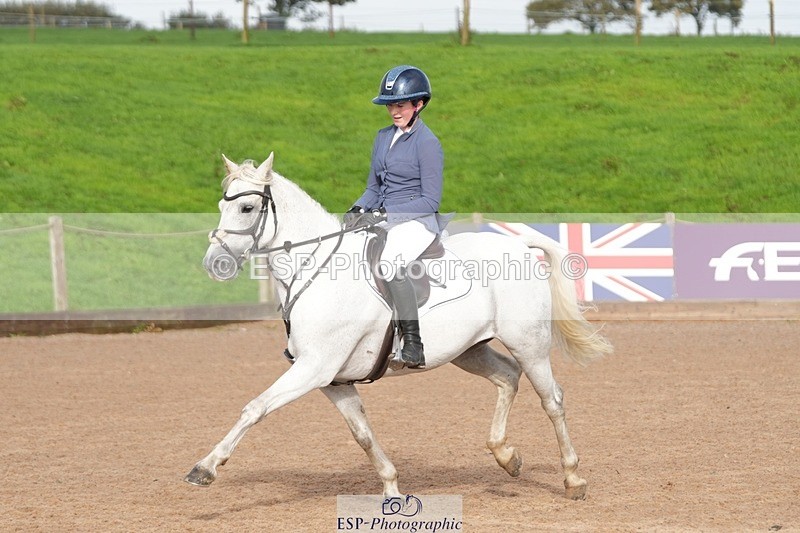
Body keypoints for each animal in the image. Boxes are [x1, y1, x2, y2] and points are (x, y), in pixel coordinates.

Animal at [185, 152, 612, 500]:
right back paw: (507, 457)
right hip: (468, 350)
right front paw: (391, 487)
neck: (316, 270)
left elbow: (254, 408)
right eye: (222, 205)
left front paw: (205, 467)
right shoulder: (332, 380)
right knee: (507, 377)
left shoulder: (314, 368)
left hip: (529, 343)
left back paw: (573, 479)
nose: (214, 264)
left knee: (552, 399)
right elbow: (362, 434)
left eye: (247, 207)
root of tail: (518, 245)